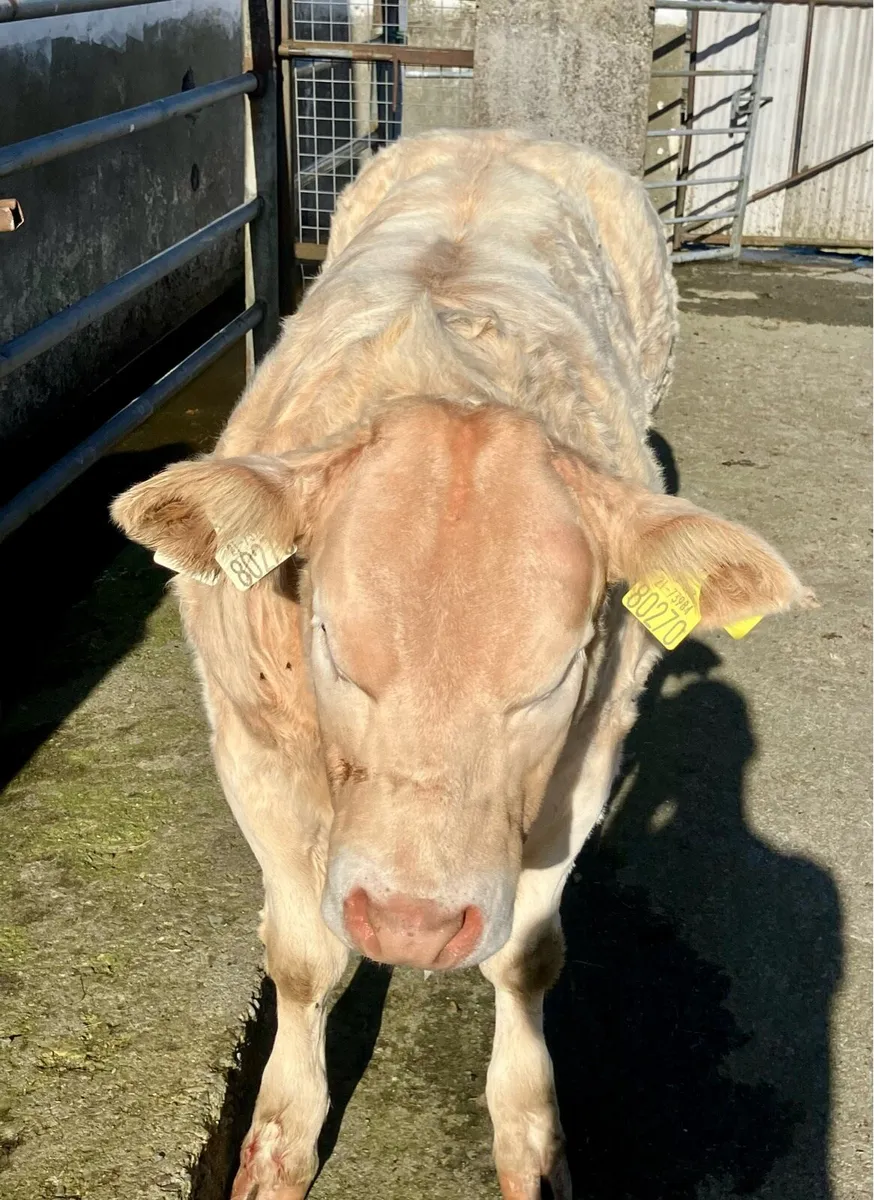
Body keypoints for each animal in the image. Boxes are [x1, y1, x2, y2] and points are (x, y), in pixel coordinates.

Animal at [111, 130, 813, 1200]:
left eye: (555, 671)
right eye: (330, 642)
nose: (410, 923)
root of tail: (504, 134)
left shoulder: (582, 762)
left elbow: (526, 960)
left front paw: (534, 1142)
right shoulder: (251, 744)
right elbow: (304, 962)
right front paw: (280, 1141)